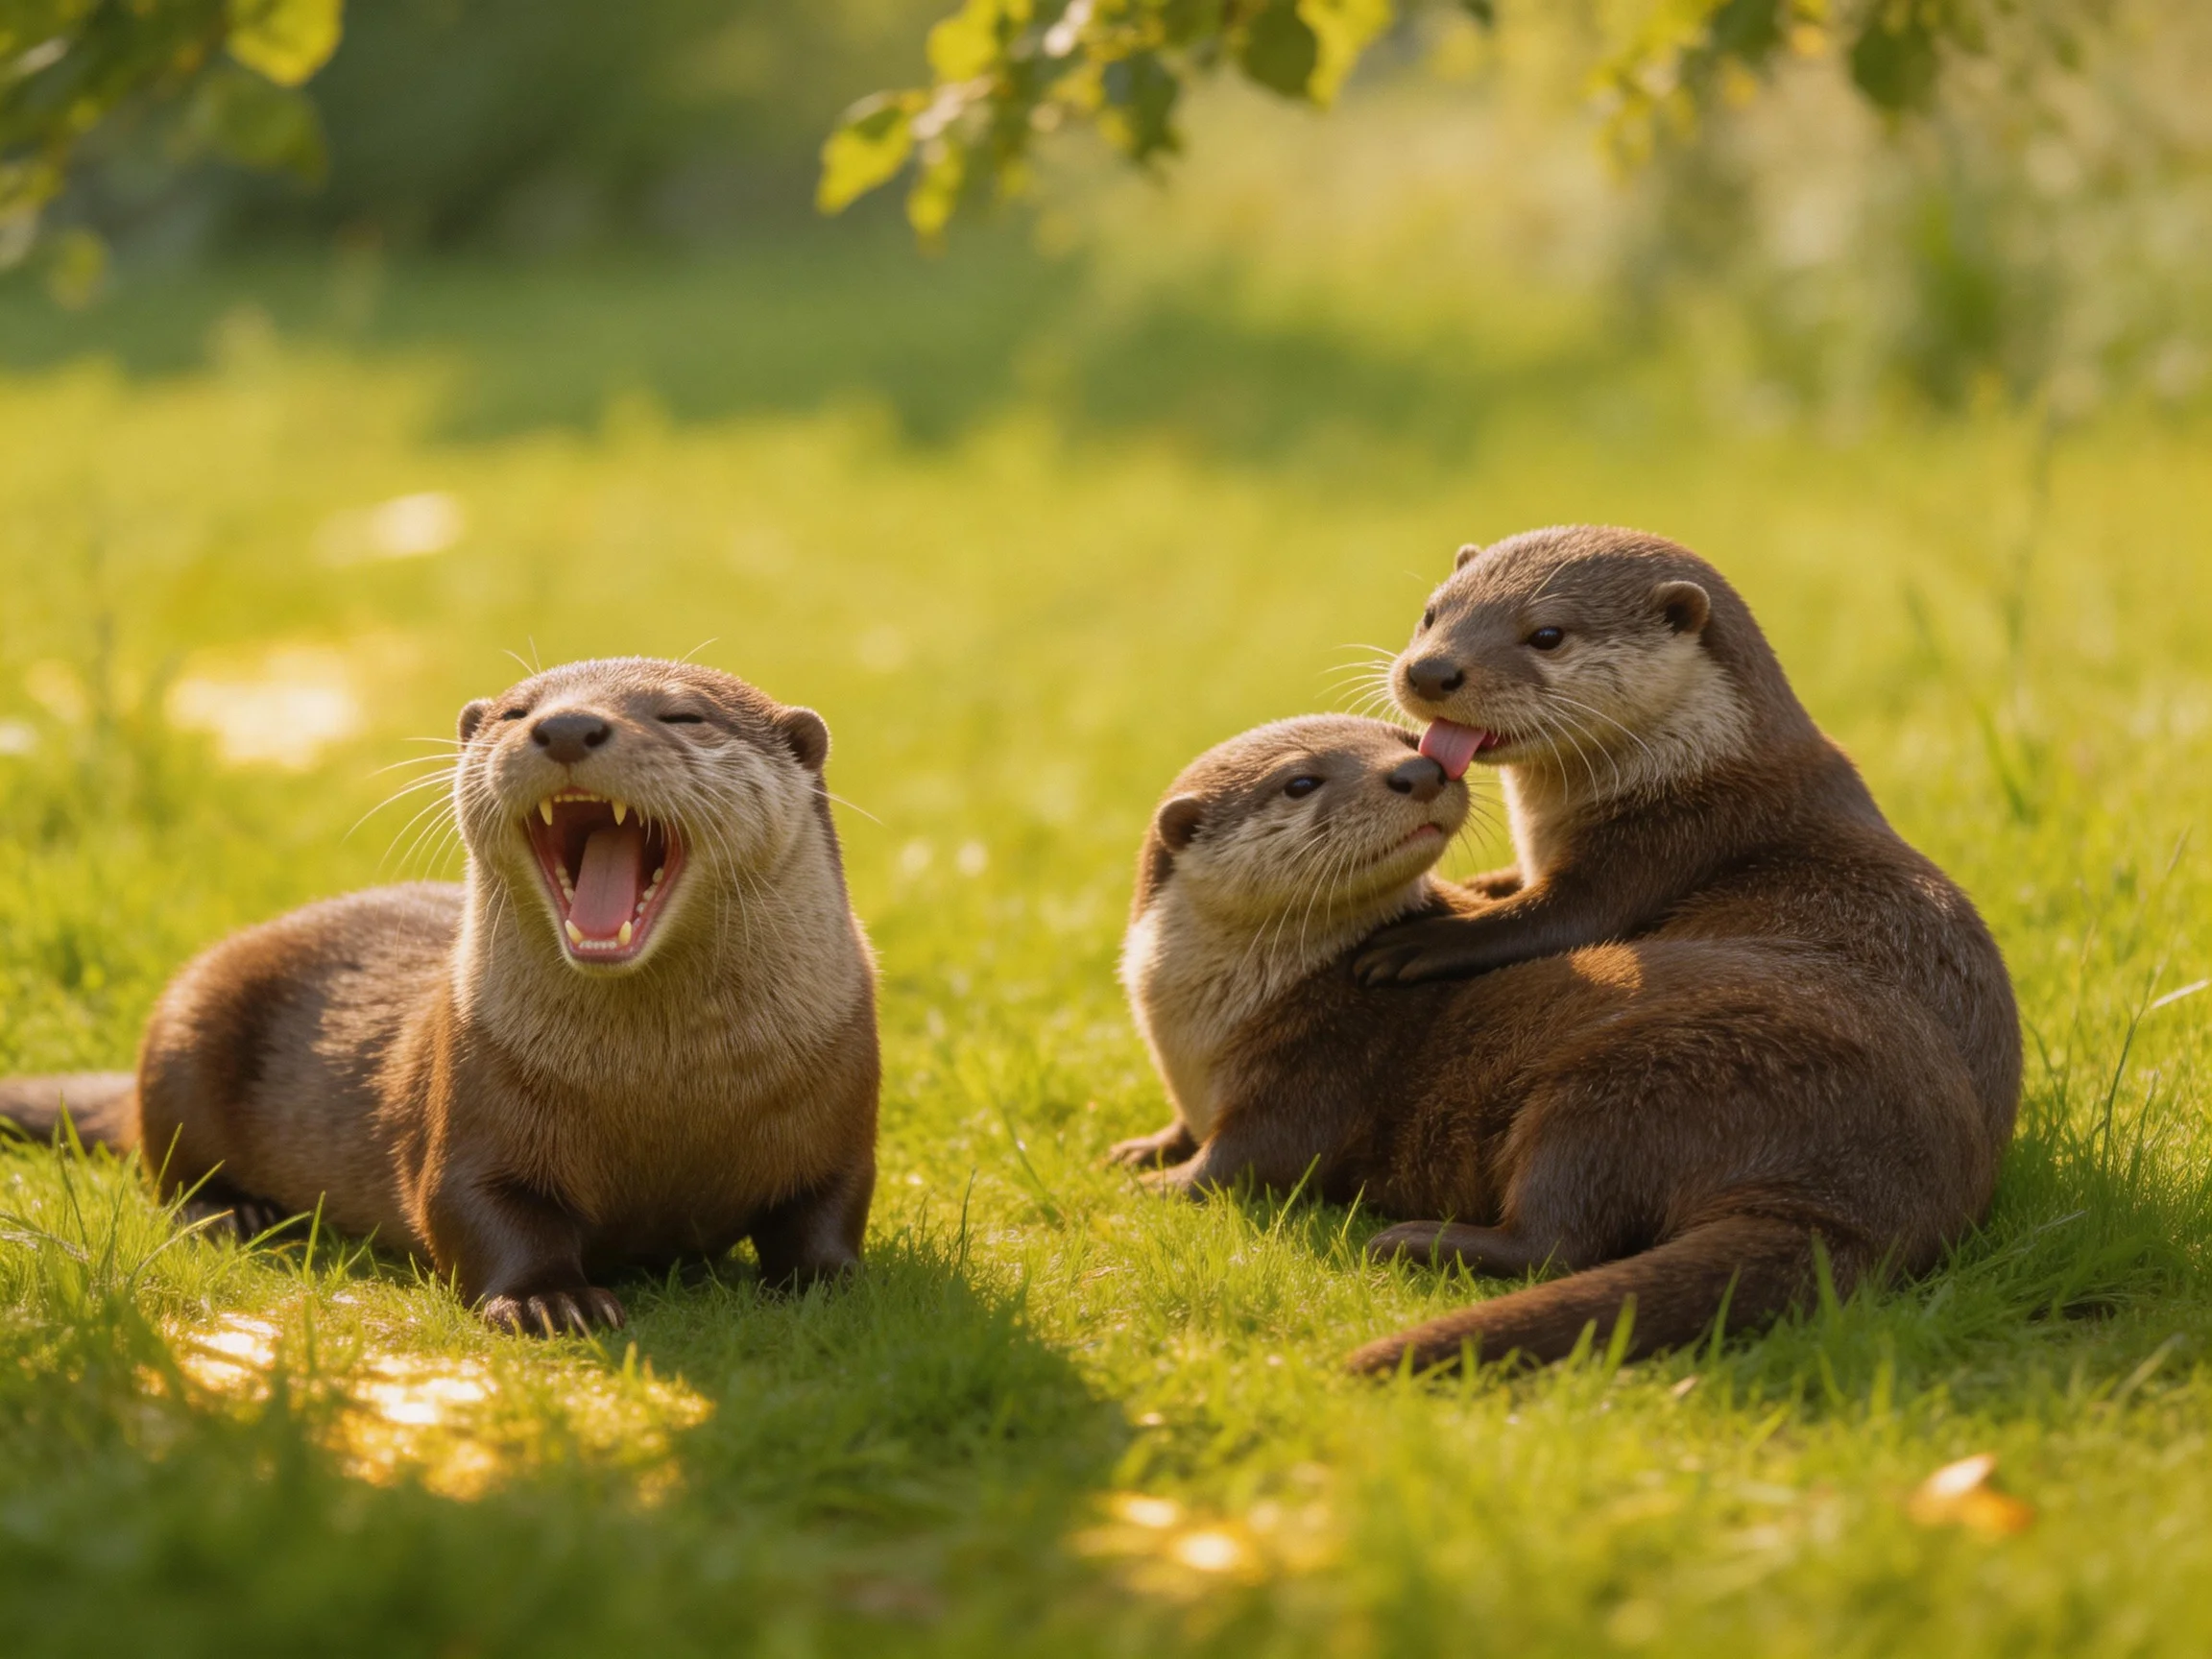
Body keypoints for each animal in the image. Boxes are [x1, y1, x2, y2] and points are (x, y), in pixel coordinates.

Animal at [1, 658, 879, 1335]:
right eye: (518, 710)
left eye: (685, 714)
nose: (565, 727)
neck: (665, 1089)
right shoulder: (469, 1102)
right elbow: (480, 1211)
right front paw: (550, 1302)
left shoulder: (843, 1117)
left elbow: (829, 1208)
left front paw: (829, 1284)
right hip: (185, 1032)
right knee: (167, 1168)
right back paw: (231, 1215)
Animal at [1117, 528, 2019, 1372]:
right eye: (1433, 612)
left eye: (1545, 634)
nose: (1432, 675)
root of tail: (1862, 1197)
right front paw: (1143, 1149)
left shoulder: (1662, 843)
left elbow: (1554, 918)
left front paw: (1423, 940)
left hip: (1618, 1094)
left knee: (1559, 1241)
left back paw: (1414, 1240)